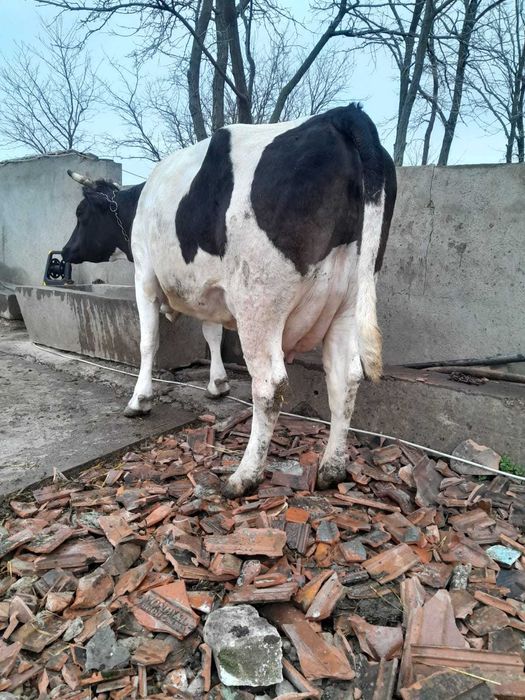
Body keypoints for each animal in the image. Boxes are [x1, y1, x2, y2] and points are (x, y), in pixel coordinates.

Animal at [100, 103, 396, 498]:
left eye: (81, 214)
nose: (64, 254)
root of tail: (339, 114)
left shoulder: (145, 276)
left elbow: (148, 342)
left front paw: (139, 401)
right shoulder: (209, 293)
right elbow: (211, 335)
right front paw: (217, 384)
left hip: (260, 300)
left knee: (269, 385)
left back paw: (245, 475)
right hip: (349, 299)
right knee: (345, 378)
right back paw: (332, 468)